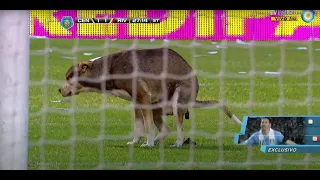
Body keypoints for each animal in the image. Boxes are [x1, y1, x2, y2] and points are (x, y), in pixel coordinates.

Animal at [58, 47, 242, 148]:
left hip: (177, 102)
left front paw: (149, 143)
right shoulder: (137, 103)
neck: (107, 70)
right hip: (157, 107)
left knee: (179, 129)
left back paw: (176, 143)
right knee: (166, 129)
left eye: (68, 77)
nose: (59, 89)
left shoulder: (143, 98)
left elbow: (148, 126)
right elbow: (139, 127)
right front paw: (136, 142)